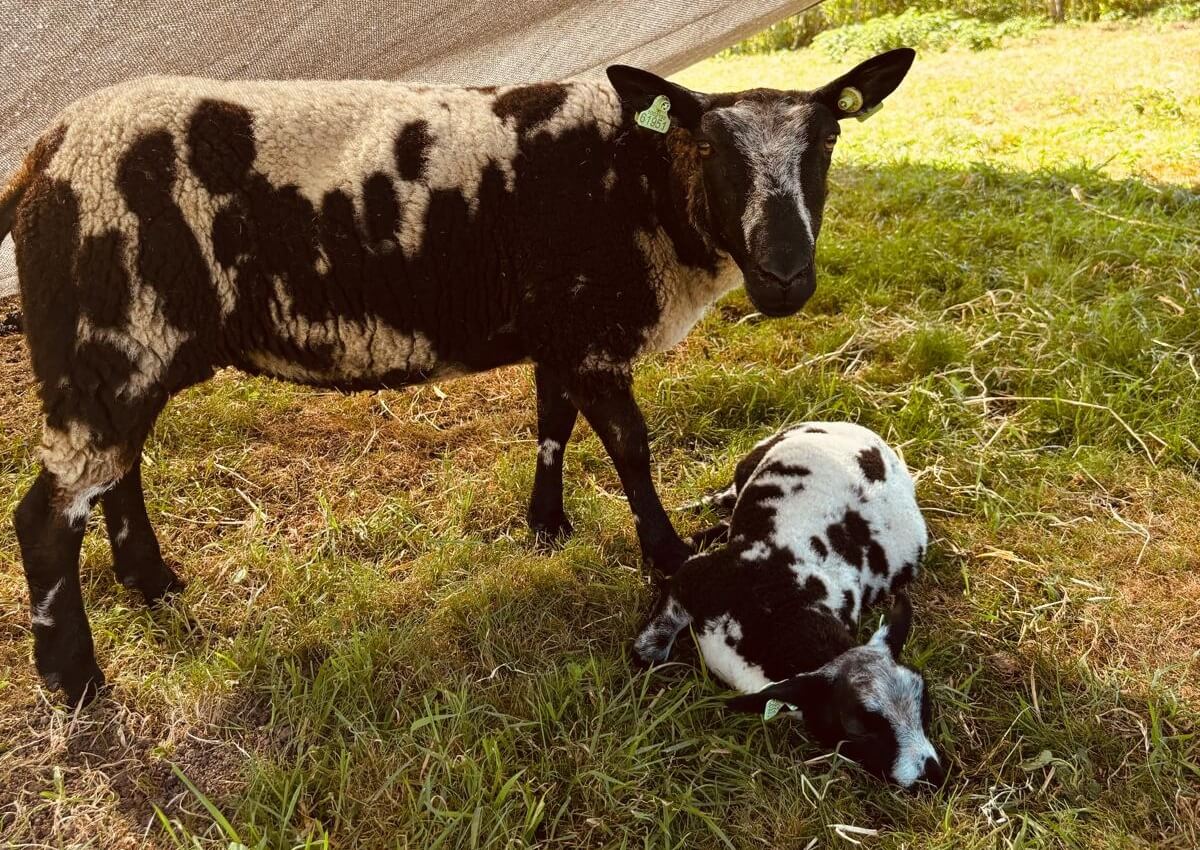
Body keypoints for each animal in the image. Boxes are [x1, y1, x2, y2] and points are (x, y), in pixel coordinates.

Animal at [0, 51, 912, 705]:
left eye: (828, 142)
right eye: (712, 150)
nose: (786, 278)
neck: (642, 184)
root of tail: (40, 158)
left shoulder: (560, 329)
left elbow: (552, 423)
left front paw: (546, 526)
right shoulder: (589, 329)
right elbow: (629, 445)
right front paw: (669, 558)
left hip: (126, 345)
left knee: (118, 473)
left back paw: (151, 582)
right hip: (109, 334)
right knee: (46, 517)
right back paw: (75, 682)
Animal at [633, 422, 940, 787]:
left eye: (924, 703)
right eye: (857, 725)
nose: (934, 774)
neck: (778, 608)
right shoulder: (691, 579)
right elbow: (648, 654)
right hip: (749, 464)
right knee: (728, 498)